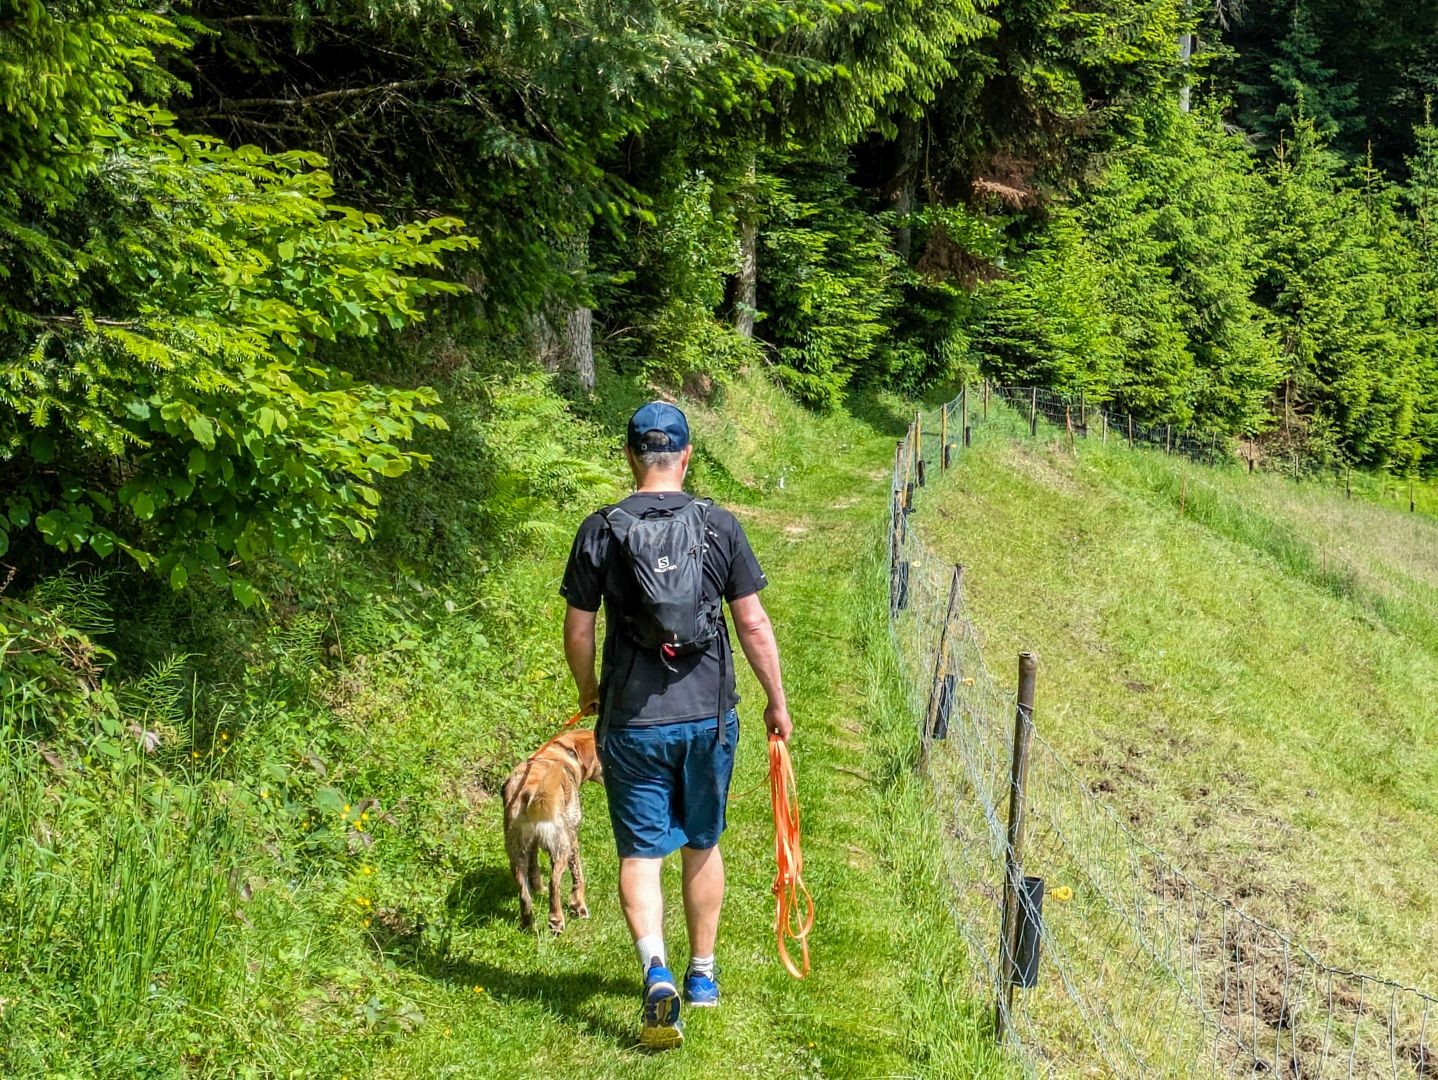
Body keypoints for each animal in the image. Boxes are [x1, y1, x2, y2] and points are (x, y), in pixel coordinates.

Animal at [500, 730, 601, 931]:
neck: (562, 753)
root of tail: (531, 791)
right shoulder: (572, 836)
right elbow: (578, 875)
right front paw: (579, 905)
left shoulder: (531, 847)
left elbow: (535, 870)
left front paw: (538, 889)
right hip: (560, 846)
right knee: (554, 882)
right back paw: (556, 919)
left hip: (516, 852)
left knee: (523, 892)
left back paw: (527, 924)